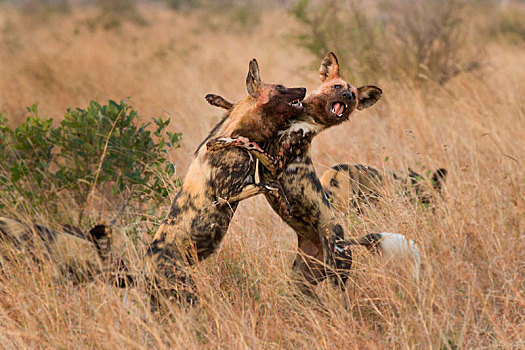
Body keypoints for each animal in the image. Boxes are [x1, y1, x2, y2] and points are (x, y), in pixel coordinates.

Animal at [145, 58, 304, 304]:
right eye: (281, 88)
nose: (304, 89)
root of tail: (146, 270)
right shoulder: (225, 195)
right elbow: (270, 184)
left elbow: (231, 108)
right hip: (185, 292)